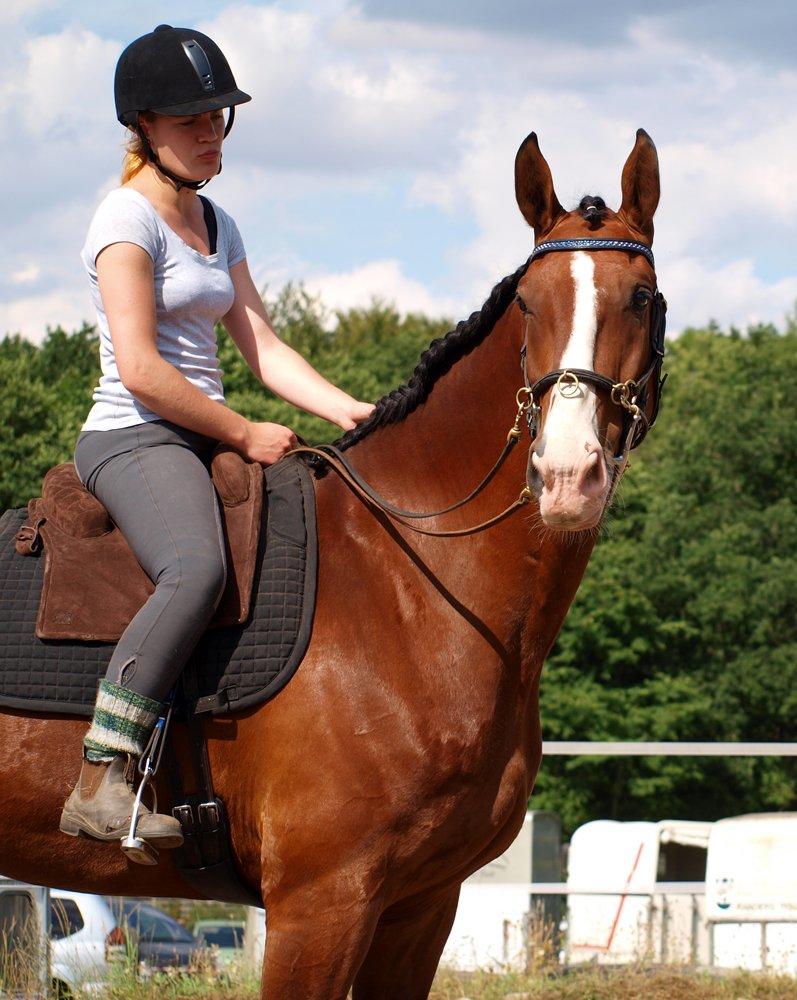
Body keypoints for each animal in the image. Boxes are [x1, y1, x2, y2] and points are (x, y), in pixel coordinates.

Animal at [0, 129, 664, 996]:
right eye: (527, 303)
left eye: (641, 299)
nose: (565, 474)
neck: (410, 587)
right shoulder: (322, 901)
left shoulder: (421, 904)